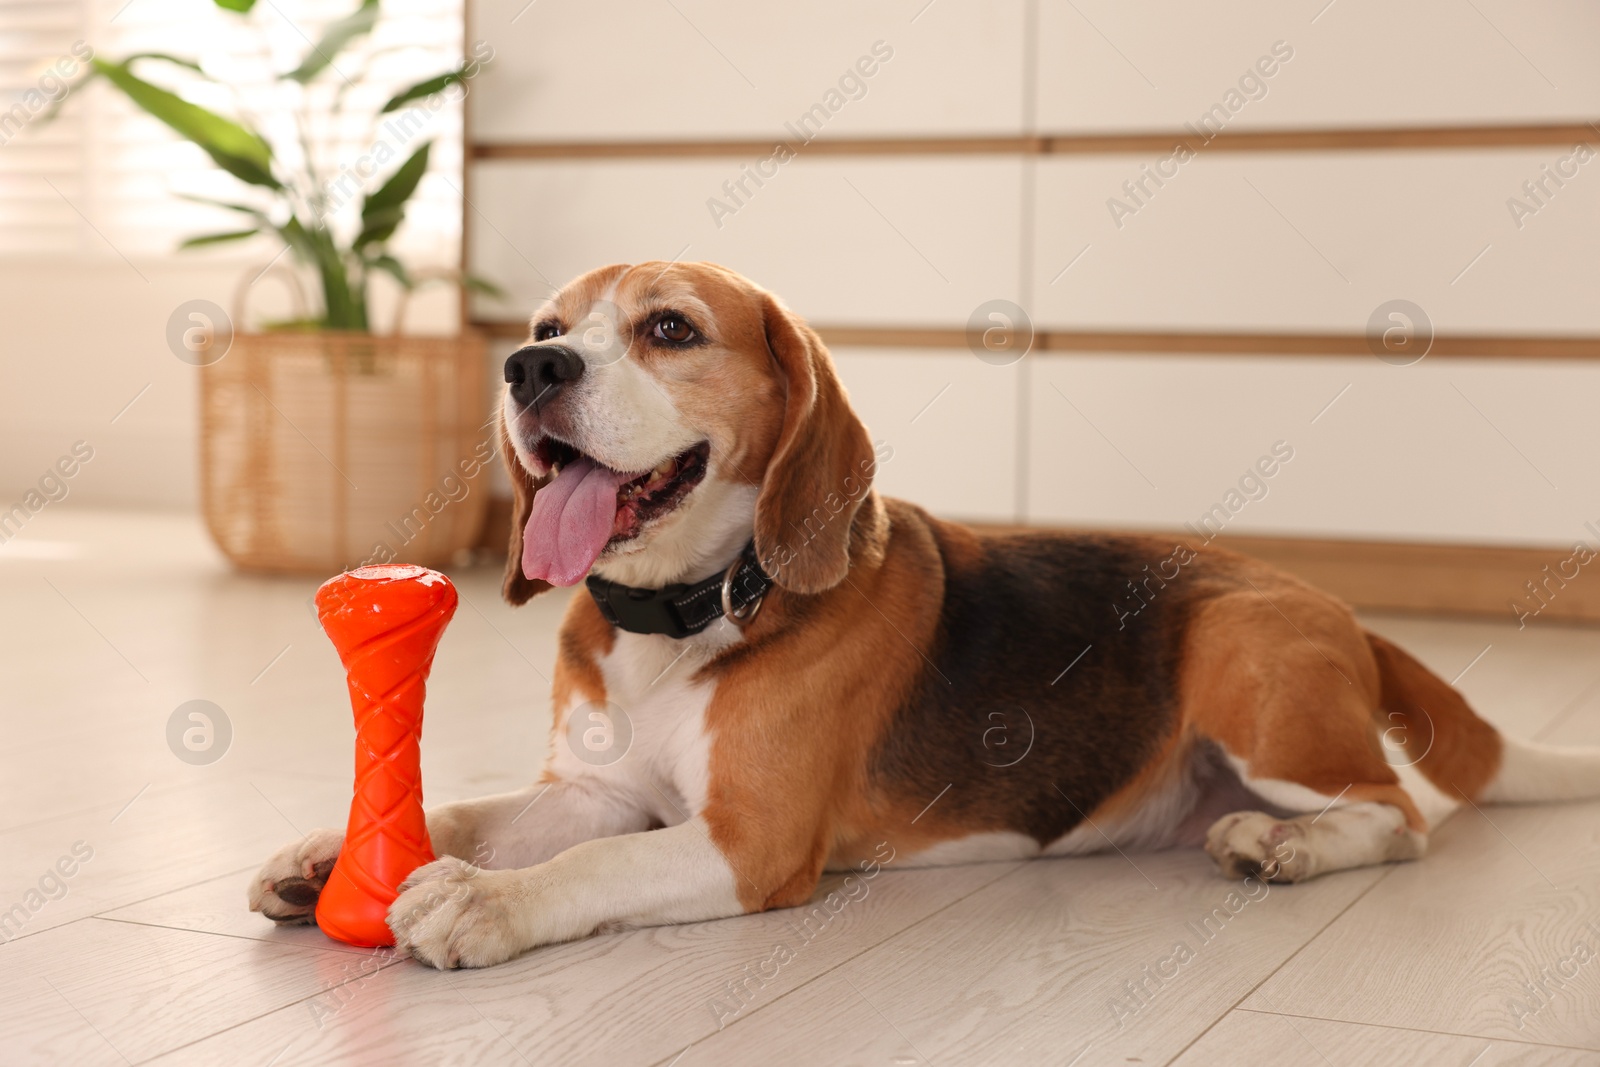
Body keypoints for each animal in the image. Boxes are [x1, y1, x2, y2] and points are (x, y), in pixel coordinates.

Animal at [249, 260, 1600, 966]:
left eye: (669, 327)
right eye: (544, 327)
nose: (529, 369)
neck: (684, 613)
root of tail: (1334, 603)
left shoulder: (750, 841)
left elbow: (589, 865)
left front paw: (477, 901)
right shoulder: (591, 787)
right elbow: (477, 812)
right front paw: (330, 854)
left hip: (1243, 655)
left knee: (1395, 814)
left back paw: (1291, 844)